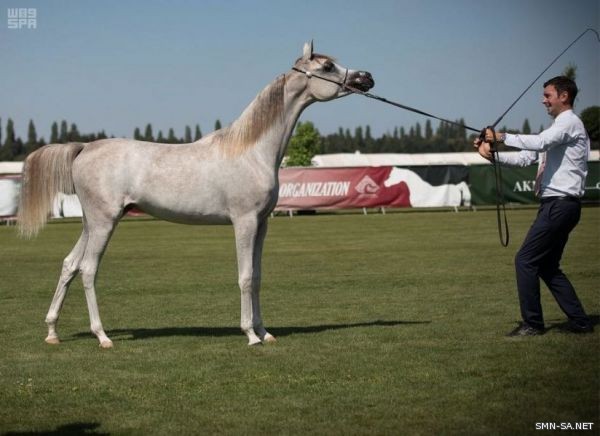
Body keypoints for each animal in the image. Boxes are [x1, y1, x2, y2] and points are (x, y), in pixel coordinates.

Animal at [18, 41, 372, 348]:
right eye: (327, 66)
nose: (366, 78)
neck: (252, 151)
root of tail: (84, 148)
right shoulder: (244, 222)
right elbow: (245, 277)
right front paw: (251, 335)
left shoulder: (262, 224)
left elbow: (257, 276)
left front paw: (265, 331)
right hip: (104, 223)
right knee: (89, 270)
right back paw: (102, 336)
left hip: (91, 223)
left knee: (70, 265)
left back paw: (52, 332)